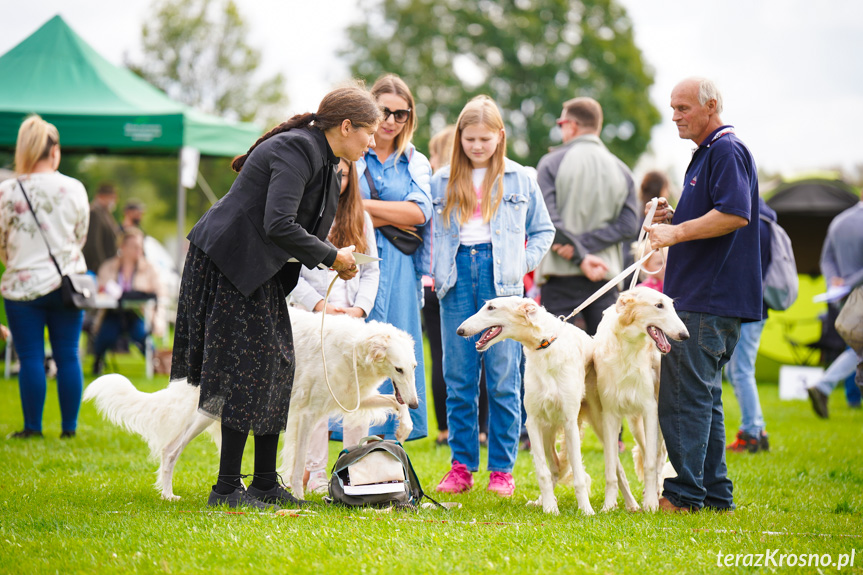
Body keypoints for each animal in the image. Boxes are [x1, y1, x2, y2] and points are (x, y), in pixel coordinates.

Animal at [84, 308, 418, 502]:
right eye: (398, 369)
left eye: (414, 367)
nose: (416, 402)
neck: (352, 349)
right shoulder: (306, 415)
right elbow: (298, 462)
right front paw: (298, 497)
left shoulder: (348, 398)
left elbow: (393, 401)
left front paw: (405, 426)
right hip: (208, 409)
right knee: (170, 449)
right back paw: (169, 494)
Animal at [460, 296, 636, 516]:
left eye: (491, 307)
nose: (459, 330)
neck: (545, 346)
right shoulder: (533, 422)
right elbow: (543, 472)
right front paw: (550, 508)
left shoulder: (569, 422)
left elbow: (579, 476)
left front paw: (586, 510)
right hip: (547, 431)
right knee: (555, 468)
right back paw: (543, 500)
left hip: (601, 424)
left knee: (617, 468)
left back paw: (631, 504)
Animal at [592, 288, 688, 512]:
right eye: (659, 305)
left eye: (672, 305)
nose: (685, 335)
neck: (627, 350)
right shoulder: (609, 415)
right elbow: (611, 468)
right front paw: (608, 505)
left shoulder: (650, 409)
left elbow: (652, 464)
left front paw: (651, 504)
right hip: (636, 426)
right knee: (645, 452)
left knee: (658, 456)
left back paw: (654, 494)